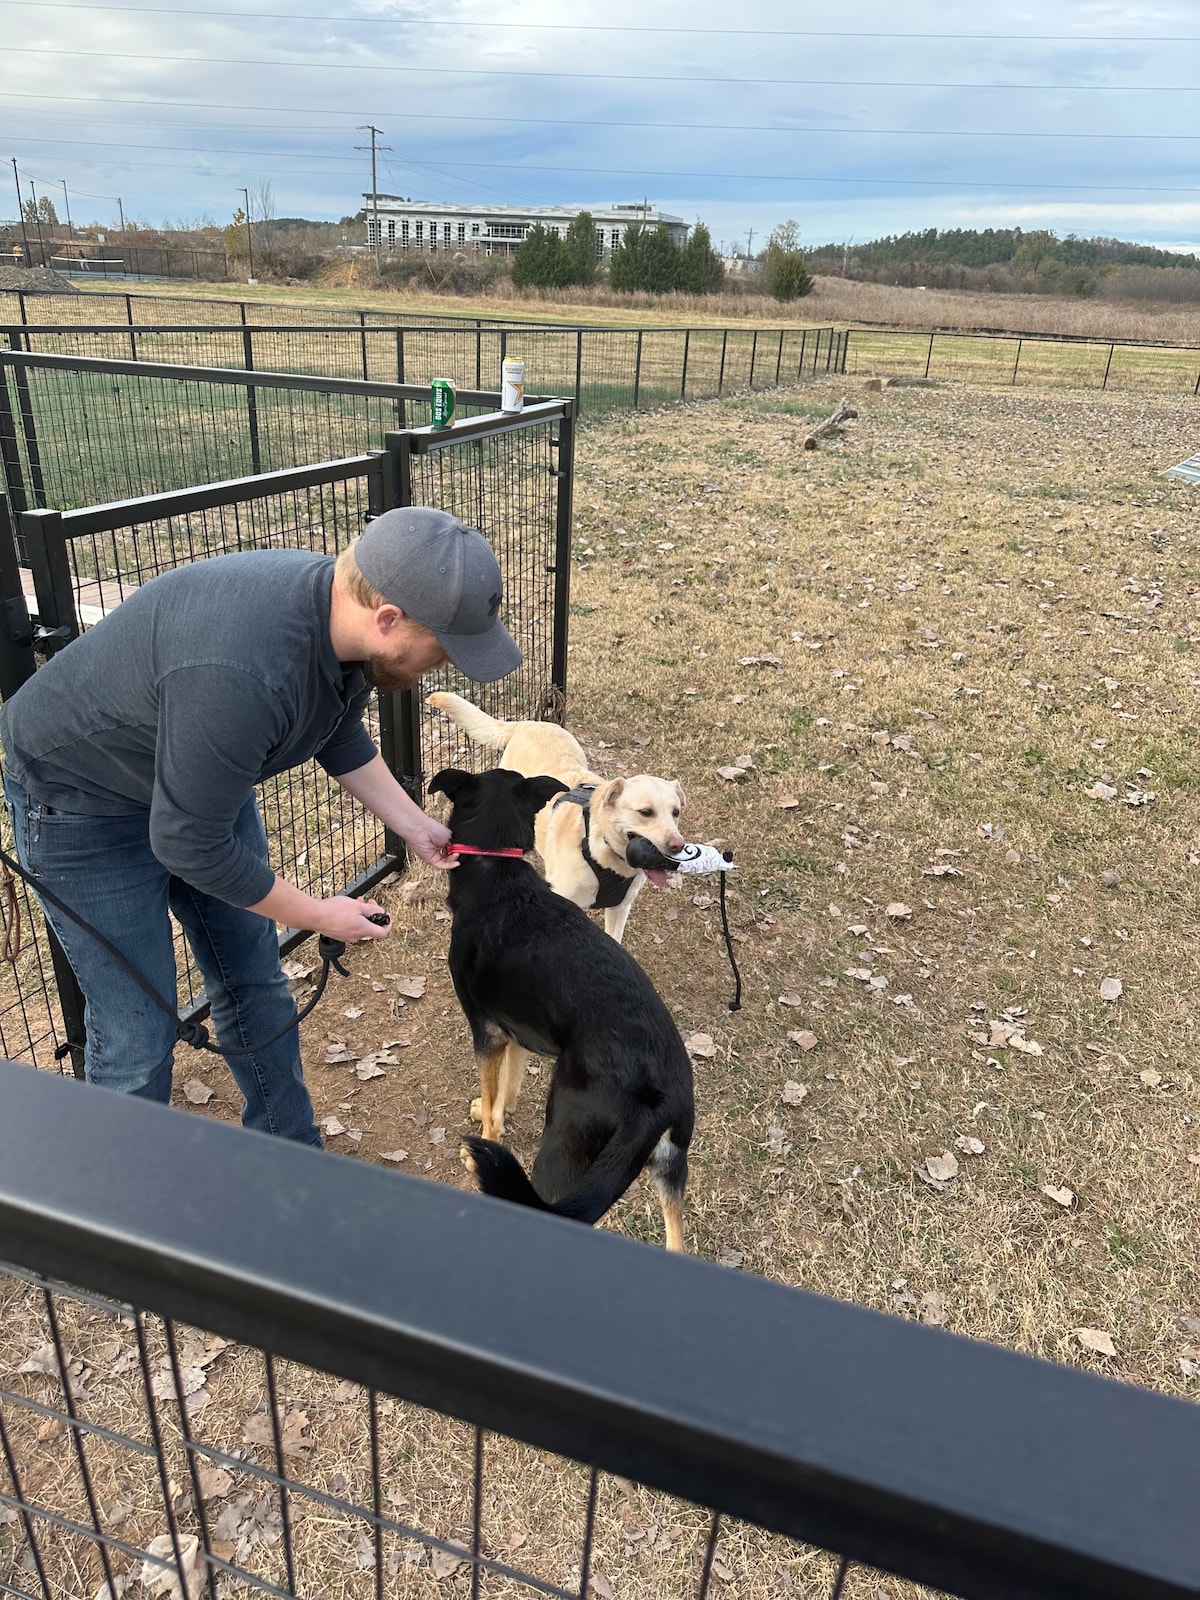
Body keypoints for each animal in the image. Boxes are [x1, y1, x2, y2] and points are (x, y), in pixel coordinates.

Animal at [428, 688, 684, 934]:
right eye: (645, 812)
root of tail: (529, 723)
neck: (602, 849)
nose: (678, 846)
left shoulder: (620, 909)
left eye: (676, 813)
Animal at [428, 764, 694, 1248]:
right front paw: (499, 1113)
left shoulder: (486, 1031)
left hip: (565, 1144)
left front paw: (482, 1142)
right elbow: (507, 1087)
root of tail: (659, 1095)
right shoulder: (517, 1030)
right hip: (669, 1170)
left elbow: (491, 1100)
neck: (497, 869)